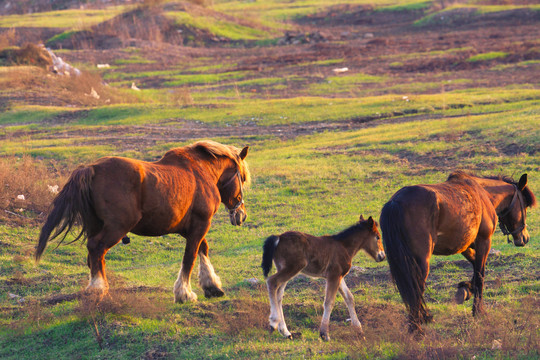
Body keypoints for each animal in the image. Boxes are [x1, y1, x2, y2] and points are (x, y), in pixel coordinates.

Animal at [35, 139, 251, 302]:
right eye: (242, 178)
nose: (241, 215)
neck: (202, 171)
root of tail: (91, 168)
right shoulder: (200, 224)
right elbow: (189, 257)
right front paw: (184, 293)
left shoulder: (187, 228)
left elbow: (202, 249)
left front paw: (211, 285)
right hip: (116, 228)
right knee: (96, 248)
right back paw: (98, 289)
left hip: (97, 226)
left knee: (93, 257)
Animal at [380, 173, 536, 334]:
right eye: (524, 204)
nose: (524, 237)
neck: (483, 194)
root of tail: (395, 202)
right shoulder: (484, 241)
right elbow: (480, 274)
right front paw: (478, 311)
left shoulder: (464, 245)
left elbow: (475, 265)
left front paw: (466, 289)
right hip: (421, 262)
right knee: (415, 290)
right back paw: (416, 328)